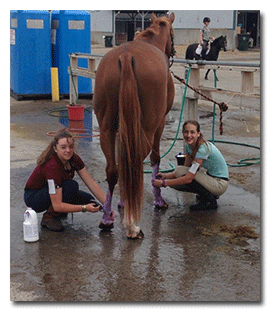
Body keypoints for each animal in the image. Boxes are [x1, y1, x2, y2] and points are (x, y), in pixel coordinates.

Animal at [94, 12, 176, 239]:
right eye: (173, 33)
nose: (173, 51)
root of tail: (125, 56)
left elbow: (122, 162)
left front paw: (122, 202)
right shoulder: (159, 124)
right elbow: (155, 159)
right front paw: (159, 200)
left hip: (106, 128)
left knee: (113, 170)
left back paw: (107, 219)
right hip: (147, 128)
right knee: (136, 162)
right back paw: (132, 226)